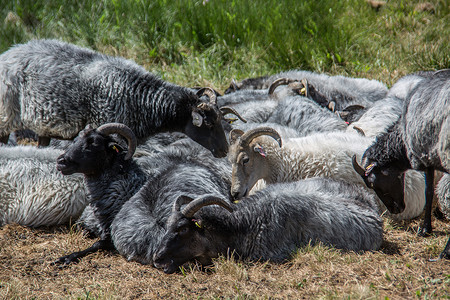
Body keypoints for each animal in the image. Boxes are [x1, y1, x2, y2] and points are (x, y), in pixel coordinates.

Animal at [0, 38, 232, 157]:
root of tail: (10, 52)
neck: (141, 99)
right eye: (208, 124)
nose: (225, 151)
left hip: (42, 123)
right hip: (6, 113)